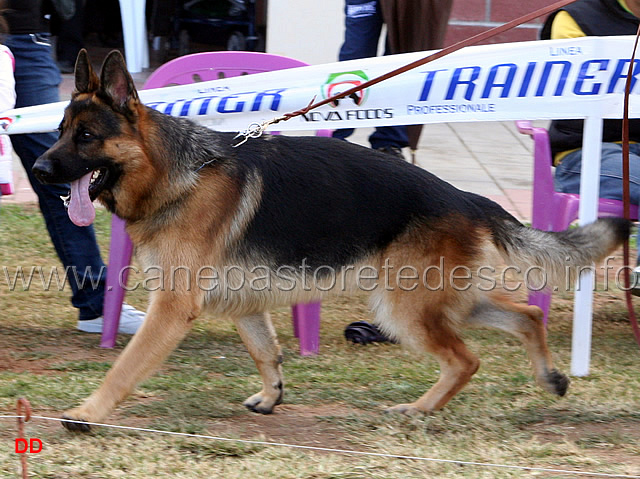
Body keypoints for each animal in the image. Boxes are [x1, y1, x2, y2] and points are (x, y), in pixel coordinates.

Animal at [32, 49, 628, 432]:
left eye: (86, 137)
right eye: (59, 131)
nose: (38, 169)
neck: (176, 173)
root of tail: (465, 196)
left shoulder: (173, 308)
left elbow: (125, 367)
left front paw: (88, 414)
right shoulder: (242, 303)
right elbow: (266, 351)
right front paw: (271, 396)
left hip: (402, 307)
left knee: (466, 358)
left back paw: (419, 410)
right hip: (438, 300)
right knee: (528, 314)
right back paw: (549, 377)